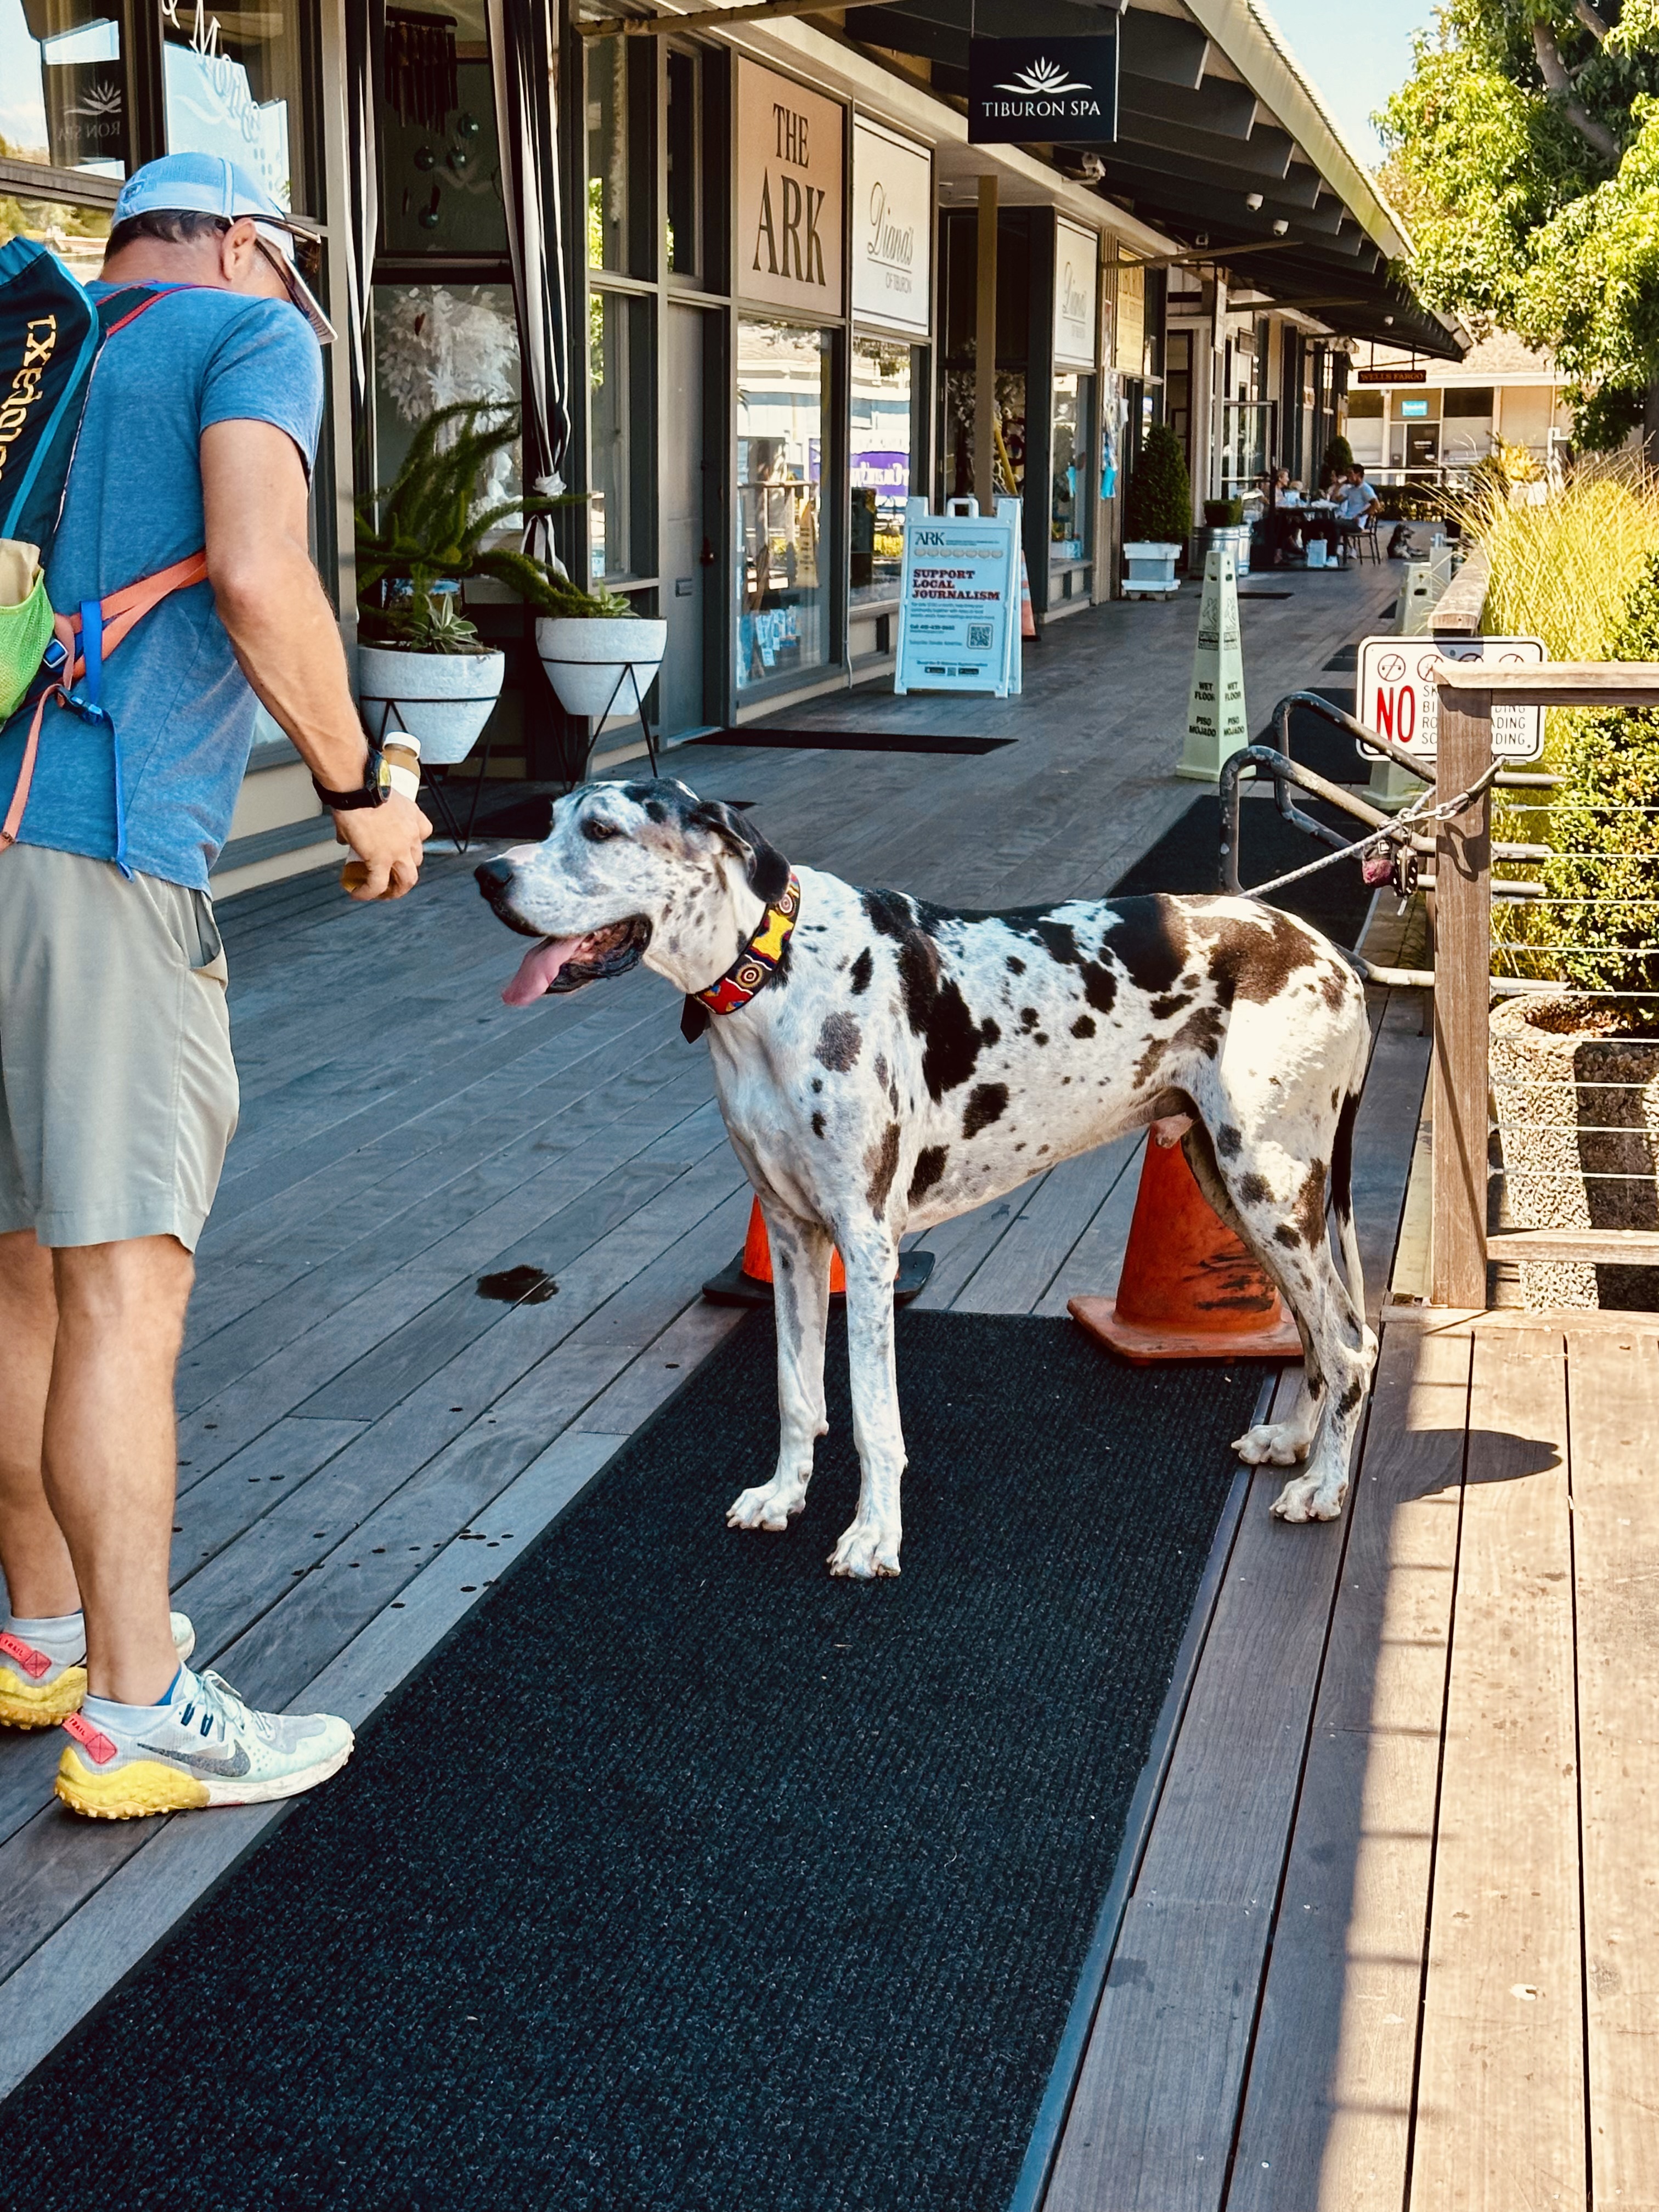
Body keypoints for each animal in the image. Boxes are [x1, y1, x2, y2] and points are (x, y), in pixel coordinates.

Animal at [477, 778, 1380, 1575]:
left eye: (600, 830)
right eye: (549, 819)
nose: (490, 876)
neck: (777, 975)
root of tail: (1328, 951)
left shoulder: (867, 1246)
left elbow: (873, 1417)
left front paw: (874, 1537)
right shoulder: (791, 1235)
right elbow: (796, 1392)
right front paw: (784, 1495)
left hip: (1270, 1185)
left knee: (1349, 1341)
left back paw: (1326, 1485)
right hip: (1232, 1185)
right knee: (1317, 1335)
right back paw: (1295, 1442)